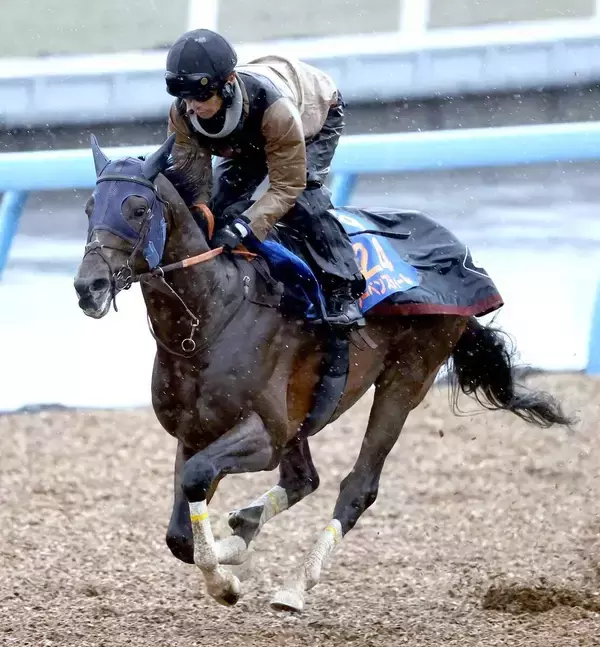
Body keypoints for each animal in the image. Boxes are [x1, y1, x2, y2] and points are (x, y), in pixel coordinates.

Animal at [73, 134, 573, 613]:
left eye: (138, 209)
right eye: (89, 207)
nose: (87, 287)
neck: (213, 313)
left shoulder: (264, 434)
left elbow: (197, 480)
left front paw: (227, 581)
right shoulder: (195, 431)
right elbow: (180, 533)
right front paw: (231, 553)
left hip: (406, 378)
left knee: (358, 486)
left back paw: (296, 585)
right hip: (307, 411)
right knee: (303, 478)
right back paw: (245, 527)